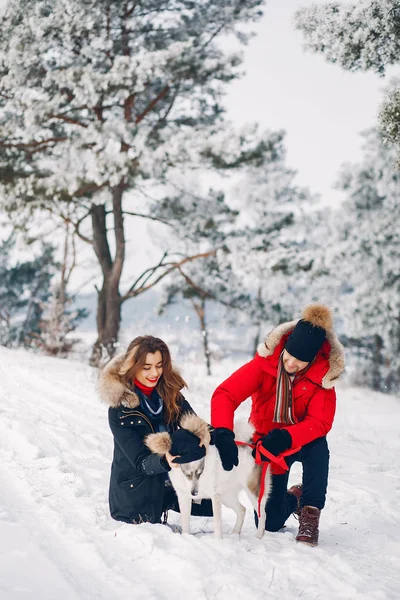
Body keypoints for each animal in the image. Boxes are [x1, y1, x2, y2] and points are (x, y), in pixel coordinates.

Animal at [145, 412, 270, 540]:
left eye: (199, 472)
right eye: (187, 474)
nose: (194, 493)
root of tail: (253, 448)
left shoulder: (215, 497)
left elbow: (218, 525)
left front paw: (218, 541)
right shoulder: (183, 496)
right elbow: (185, 523)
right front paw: (186, 537)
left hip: (253, 493)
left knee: (263, 514)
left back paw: (258, 536)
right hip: (227, 496)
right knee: (242, 510)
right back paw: (235, 533)